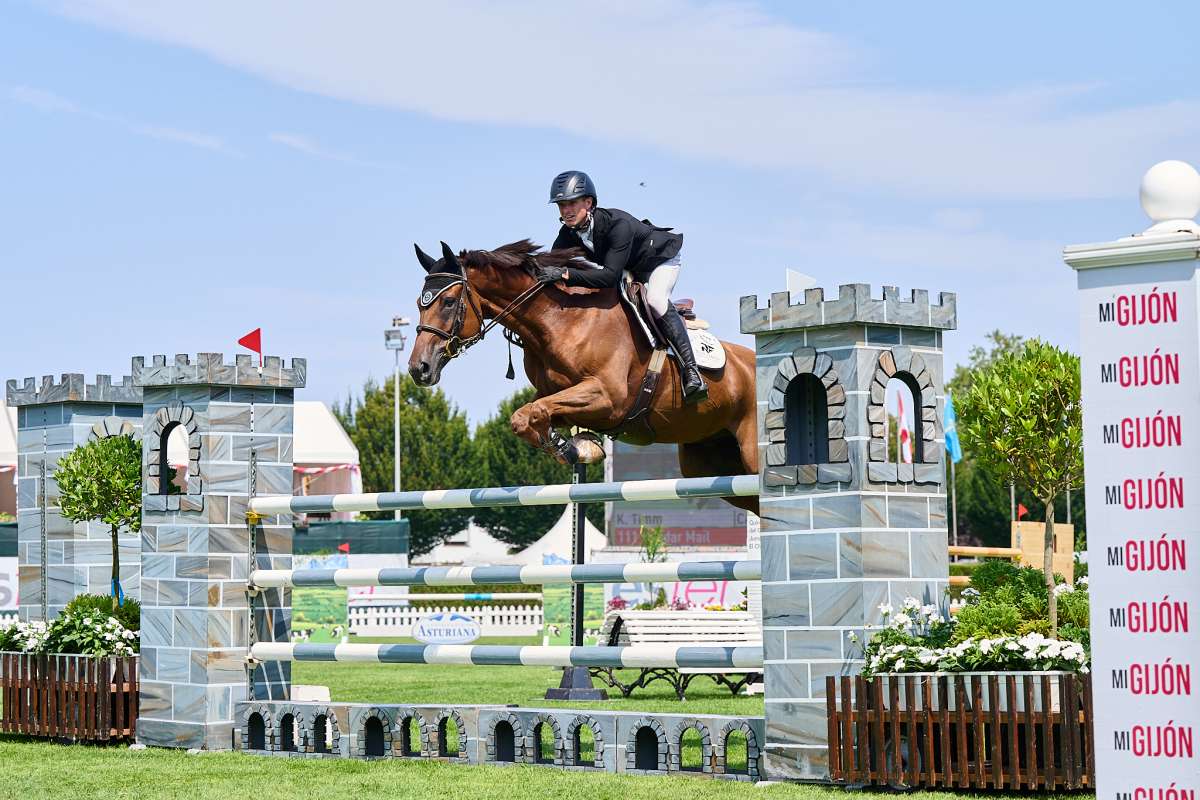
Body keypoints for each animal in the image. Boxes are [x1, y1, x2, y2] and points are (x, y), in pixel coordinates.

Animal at [408, 239, 753, 513]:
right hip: (706, 461)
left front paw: (573, 448)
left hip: (748, 451)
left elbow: (531, 413)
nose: (418, 368)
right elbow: (527, 415)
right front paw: (577, 446)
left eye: (448, 302)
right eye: (419, 304)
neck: (559, 320)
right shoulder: (560, 397)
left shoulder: (608, 399)